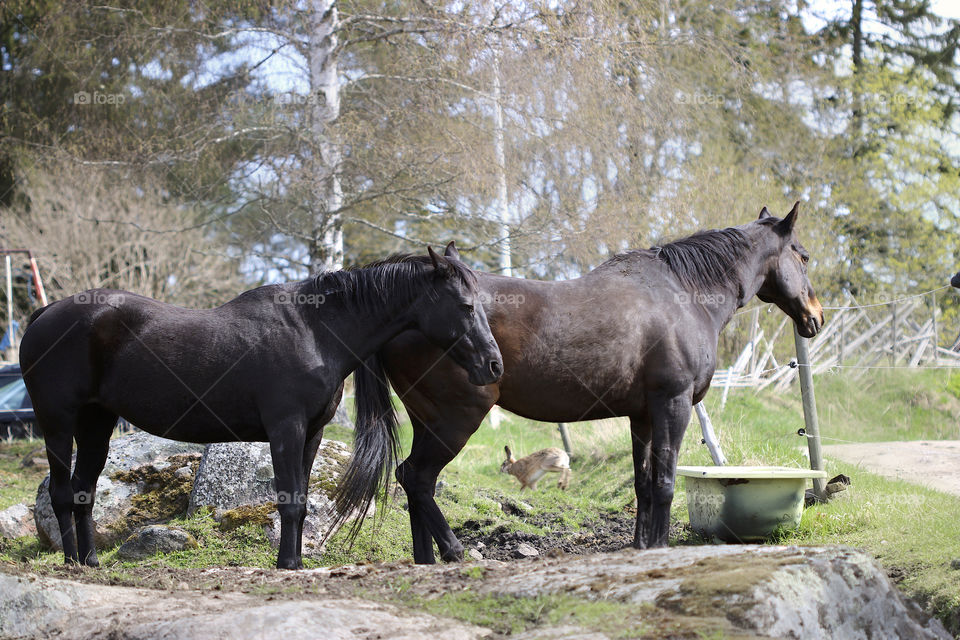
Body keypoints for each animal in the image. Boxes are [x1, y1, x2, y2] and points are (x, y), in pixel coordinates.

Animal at [19, 242, 503, 570]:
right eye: (465, 305)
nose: (493, 365)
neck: (314, 329)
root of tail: (44, 315)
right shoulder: (285, 429)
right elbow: (289, 500)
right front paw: (286, 564)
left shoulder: (312, 433)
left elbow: (301, 499)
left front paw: (296, 562)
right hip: (58, 423)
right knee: (62, 492)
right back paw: (71, 564)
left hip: (96, 424)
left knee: (84, 491)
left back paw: (90, 561)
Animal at [336, 203, 824, 563]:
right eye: (802, 255)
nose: (815, 318)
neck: (682, 295)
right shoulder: (673, 404)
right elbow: (665, 482)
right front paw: (659, 549)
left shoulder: (642, 416)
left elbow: (644, 485)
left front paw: (641, 546)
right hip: (457, 419)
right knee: (417, 478)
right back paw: (455, 553)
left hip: (430, 420)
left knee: (412, 481)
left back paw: (427, 560)